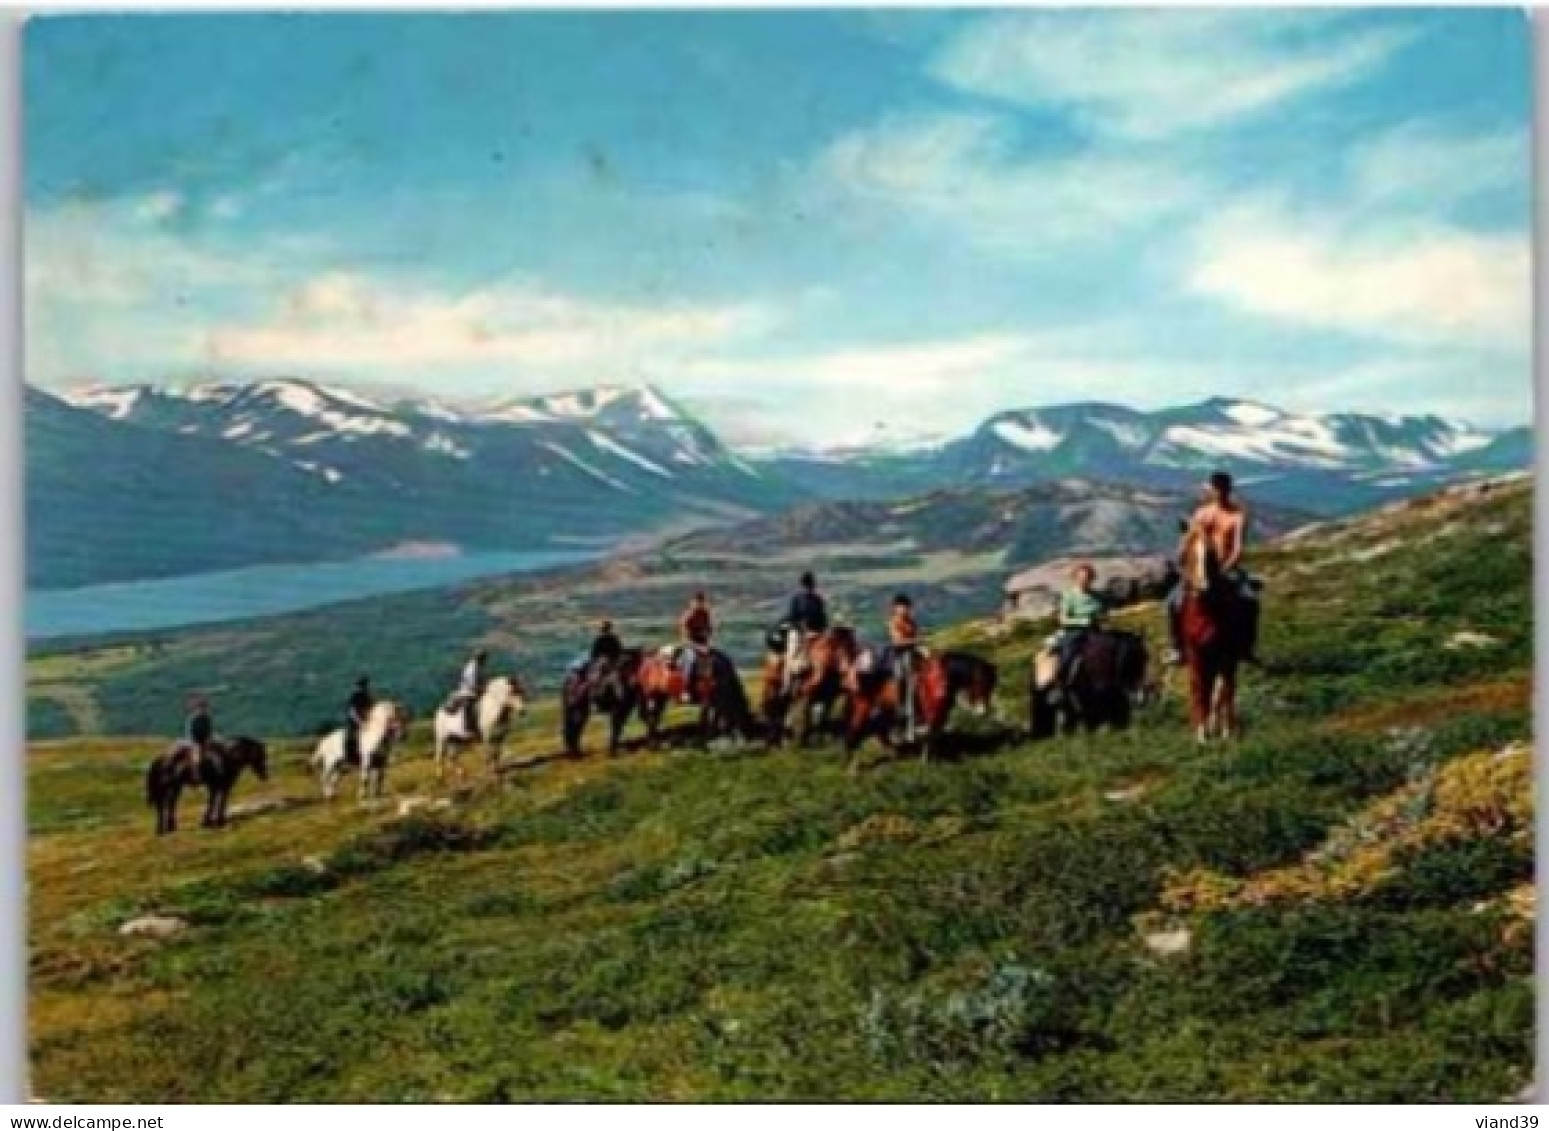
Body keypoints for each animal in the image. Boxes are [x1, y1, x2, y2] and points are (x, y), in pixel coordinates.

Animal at [842, 647, 997, 771]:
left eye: (991, 686)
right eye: (981, 683)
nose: (982, 711)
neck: (942, 679)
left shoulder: (939, 717)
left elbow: (933, 737)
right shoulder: (933, 716)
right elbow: (929, 738)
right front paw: (925, 763)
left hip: (885, 710)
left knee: (880, 732)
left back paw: (893, 753)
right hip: (862, 708)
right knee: (854, 734)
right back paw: (852, 769)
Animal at [1177, 536, 1251, 740]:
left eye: (1211, 555)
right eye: (1187, 553)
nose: (1202, 587)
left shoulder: (1227, 655)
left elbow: (1225, 690)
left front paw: (1227, 732)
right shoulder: (1195, 653)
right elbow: (1200, 688)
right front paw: (1201, 734)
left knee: (1219, 689)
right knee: (1205, 689)